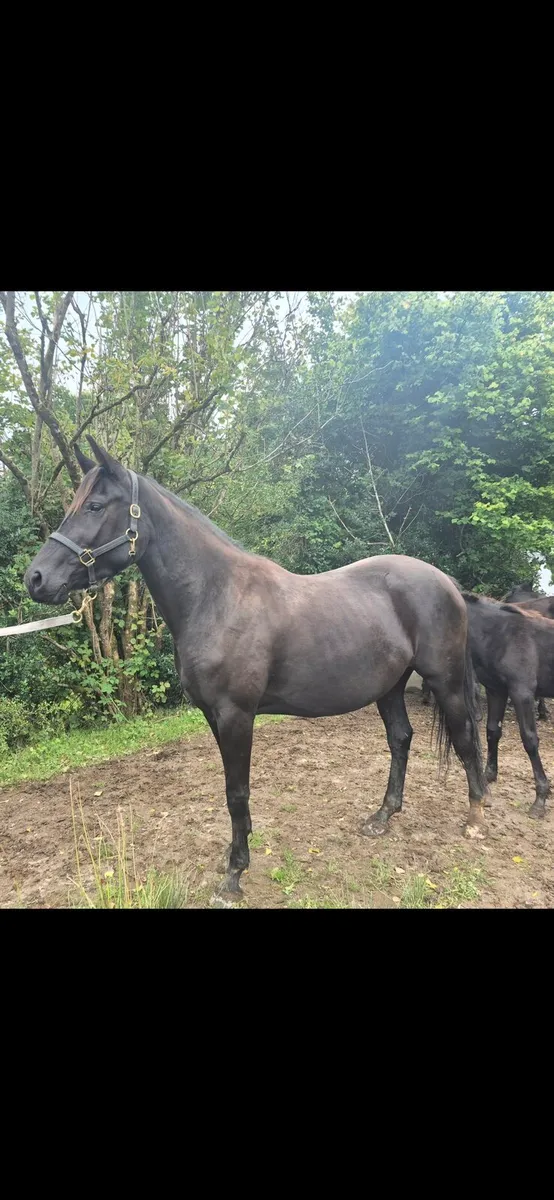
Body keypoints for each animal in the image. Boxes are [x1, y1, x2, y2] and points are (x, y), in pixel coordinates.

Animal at [24, 438, 487, 903]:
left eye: (96, 506)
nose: (35, 578)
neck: (216, 597)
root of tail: (444, 582)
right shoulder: (214, 716)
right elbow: (233, 793)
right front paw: (235, 854)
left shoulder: (236, 715)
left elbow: (236, 791)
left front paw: (234, 876)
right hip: (389, 687)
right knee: (400, 739)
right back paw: (383, 816)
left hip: (444, 682)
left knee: (465, 737)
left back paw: (475, 817)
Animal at [464, 592, 554, 818]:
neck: (501, 636)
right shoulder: (496, 691)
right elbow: (492, 731)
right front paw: (488, 777)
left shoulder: (522, 694)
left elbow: (530, 740)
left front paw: (540, 798)